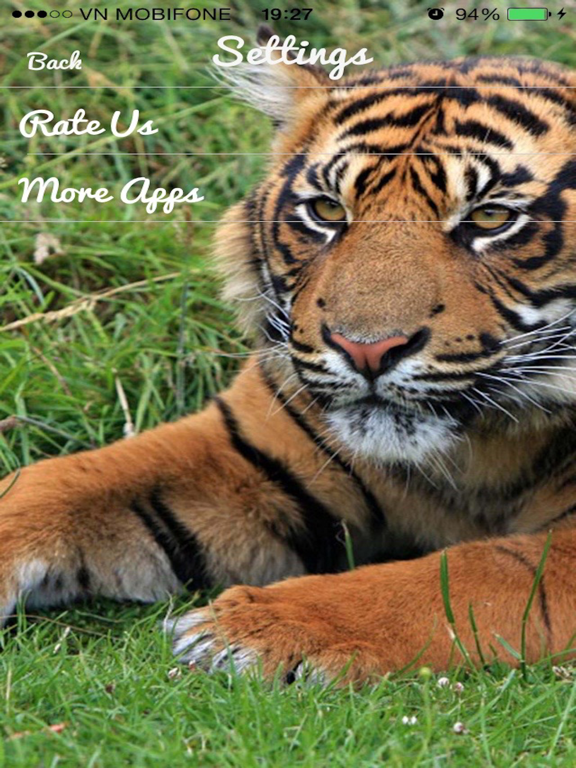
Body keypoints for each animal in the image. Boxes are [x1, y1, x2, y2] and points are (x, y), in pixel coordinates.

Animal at [2, 26, 576, 685]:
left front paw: (252, 626)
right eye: (327, 211)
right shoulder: (246, 451)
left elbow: (475, 573)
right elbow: (54, 483)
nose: (366, 349)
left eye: (490, 218)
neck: (475, 451)